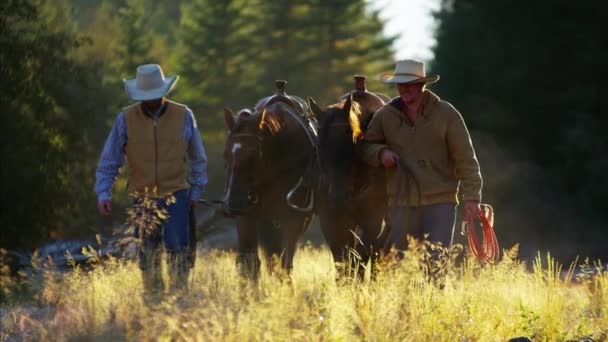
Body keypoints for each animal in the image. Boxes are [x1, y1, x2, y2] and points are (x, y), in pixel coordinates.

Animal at [223, 81, 318, 280]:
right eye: (225, 155)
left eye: (254, 155)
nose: (235, 202)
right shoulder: (247, 217)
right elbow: (249, 264)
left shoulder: (293, 220)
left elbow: (284, 264)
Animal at [308, 79, 390, 280]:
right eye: (319, 140)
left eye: (350, 134)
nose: (338, 196)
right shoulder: (331, 220)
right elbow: (342, 260)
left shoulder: (372, 220)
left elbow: (361, 256)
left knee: (376, 253)